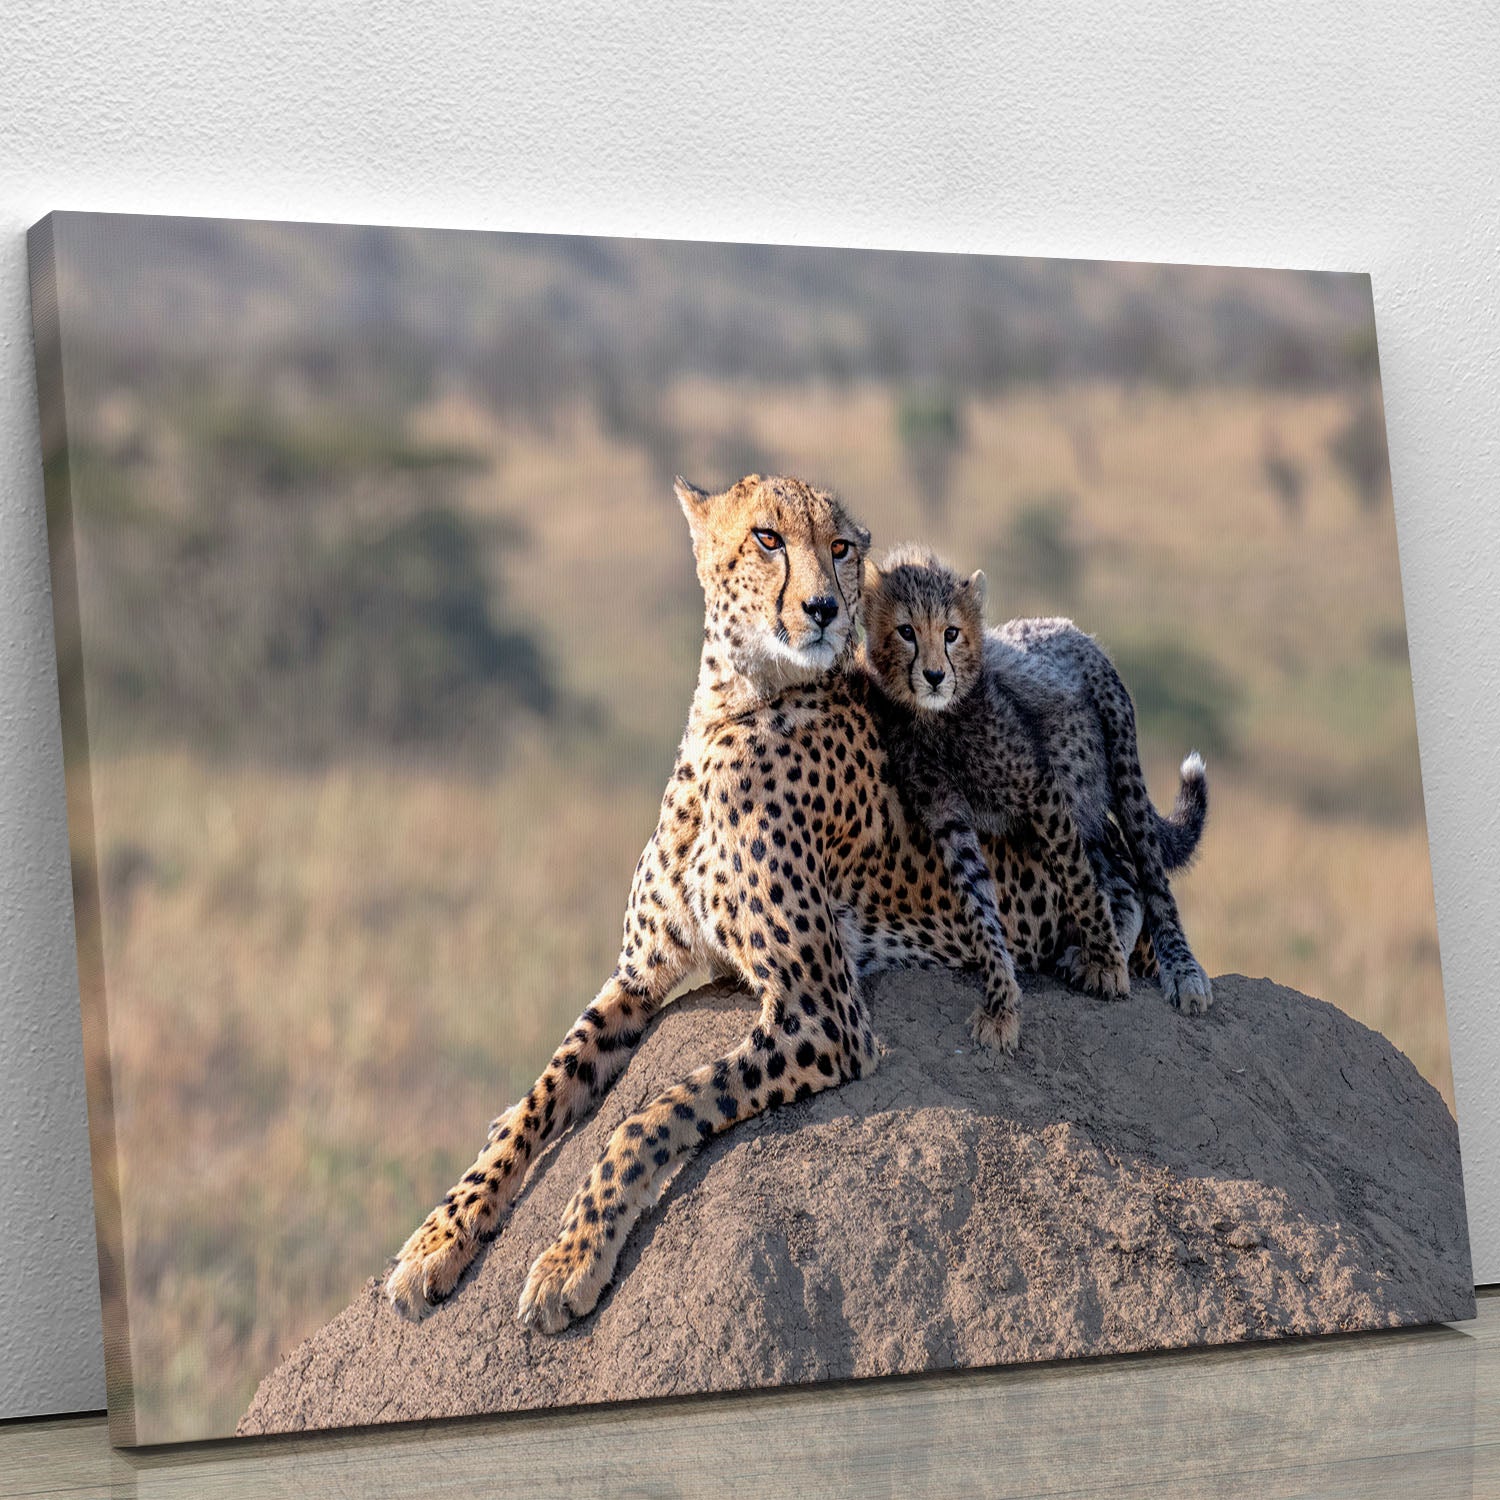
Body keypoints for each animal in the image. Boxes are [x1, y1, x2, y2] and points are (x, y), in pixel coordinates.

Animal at [383, 474, 1091, 1336]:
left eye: (841, 547)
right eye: (767, 538)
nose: (824, 608)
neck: (735, 706)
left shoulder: (824, 1012)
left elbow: (654, 1111)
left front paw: (570, 1259)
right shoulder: (638, 978)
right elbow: (539, 1098)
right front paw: (440, 1236)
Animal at [864, 544, 1211, 1012]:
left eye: (951, 633)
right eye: (906, 631)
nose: (935, 676)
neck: (935, 719)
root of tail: (1067, 625)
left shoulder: (1040, 790)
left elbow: (1079, 883)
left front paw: (1108, 965)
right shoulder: (947, 814)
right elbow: (977, 891)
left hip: (1117, 764)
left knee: (1150, 874)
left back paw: (1179, 970)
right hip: (1077, 806)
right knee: (1119, 876)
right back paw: (1098, 948)